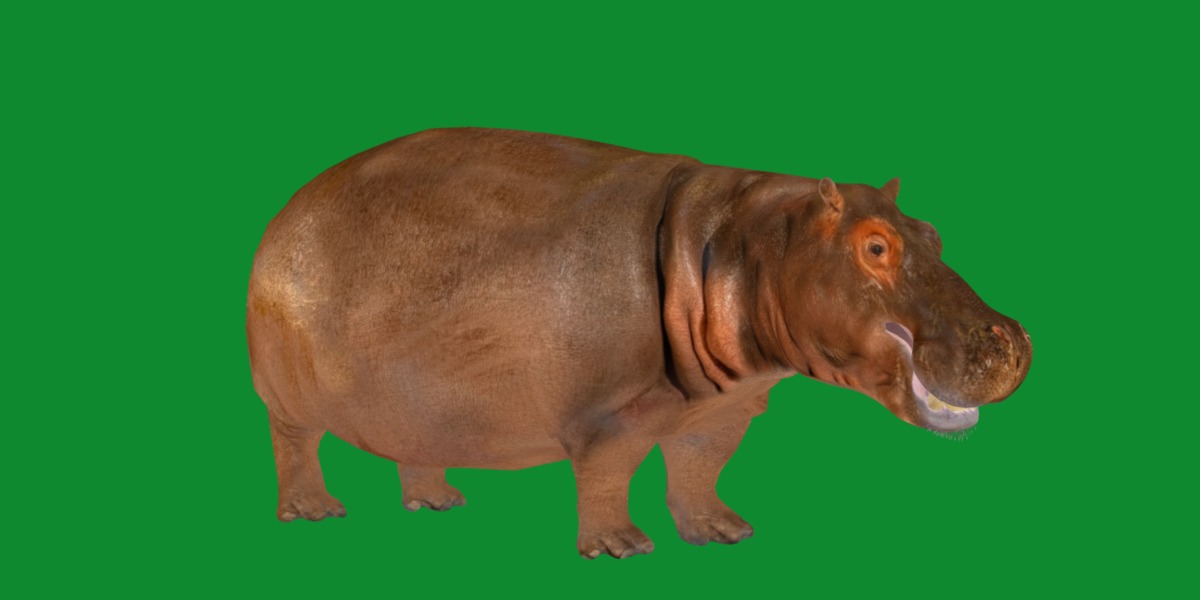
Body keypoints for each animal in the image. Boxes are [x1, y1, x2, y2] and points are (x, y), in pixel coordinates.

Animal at [246, 128, 1031, 559]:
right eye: (874, 246)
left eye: (932, 231)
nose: (1012, 338)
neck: (745, 242)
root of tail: (287, 208)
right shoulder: (613, 413)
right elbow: (607, 475)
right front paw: (621, 549)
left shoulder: (724, 408)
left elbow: (698, 468)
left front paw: (724, 532)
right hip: (285, 397)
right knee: (295, 446)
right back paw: (315, 512)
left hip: (415, 400)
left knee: (413, 442)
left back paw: (438, 503)